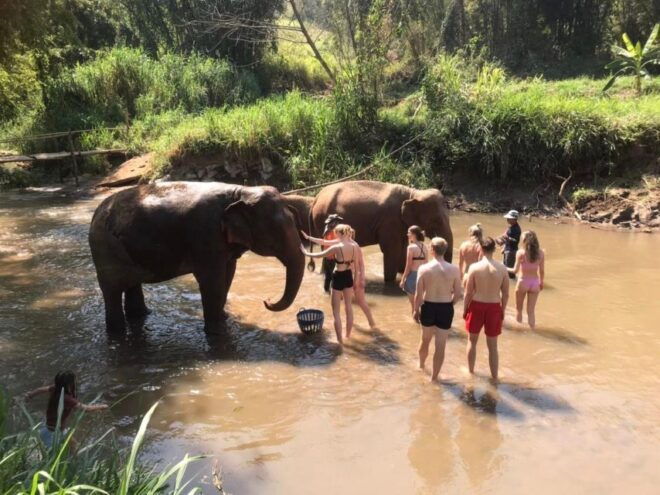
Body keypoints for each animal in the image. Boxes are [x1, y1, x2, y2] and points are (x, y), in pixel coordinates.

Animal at [89, 182, 305, 334]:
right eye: (275, 237)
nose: (267, 300)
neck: (240, 191)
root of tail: (95, 214)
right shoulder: (205, 235)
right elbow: (212, 281)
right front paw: (217, 332)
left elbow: (227, 276)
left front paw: (224, 318)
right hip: (105, 249)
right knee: (112, 291)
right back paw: (116, 334)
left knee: (132, 285)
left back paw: (142, 316)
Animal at [309, 180, 453, 282]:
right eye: (436, 220)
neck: (413, 193)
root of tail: (315, 199)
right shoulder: (389, 221)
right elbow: (392, 250)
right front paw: (389, 282)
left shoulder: (399, 224)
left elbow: (403, 248)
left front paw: (402, 273)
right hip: (322, 219)